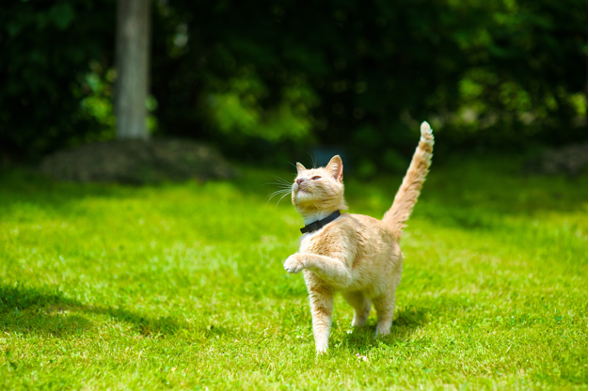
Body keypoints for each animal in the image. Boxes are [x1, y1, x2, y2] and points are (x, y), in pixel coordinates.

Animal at [282, 122, 434, 356]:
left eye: (316, 178)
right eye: (295, 179)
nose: (299, 181)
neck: (318, 225)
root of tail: (388, 226)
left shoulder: (341, 270)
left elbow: (314, 258)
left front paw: (294, 260)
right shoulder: (320, 291)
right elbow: (320, 323)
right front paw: (321, 353)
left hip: (381, 289)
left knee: (385, 310)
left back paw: (381, 334)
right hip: (351, 291)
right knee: (364, 307)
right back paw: (354, 331)